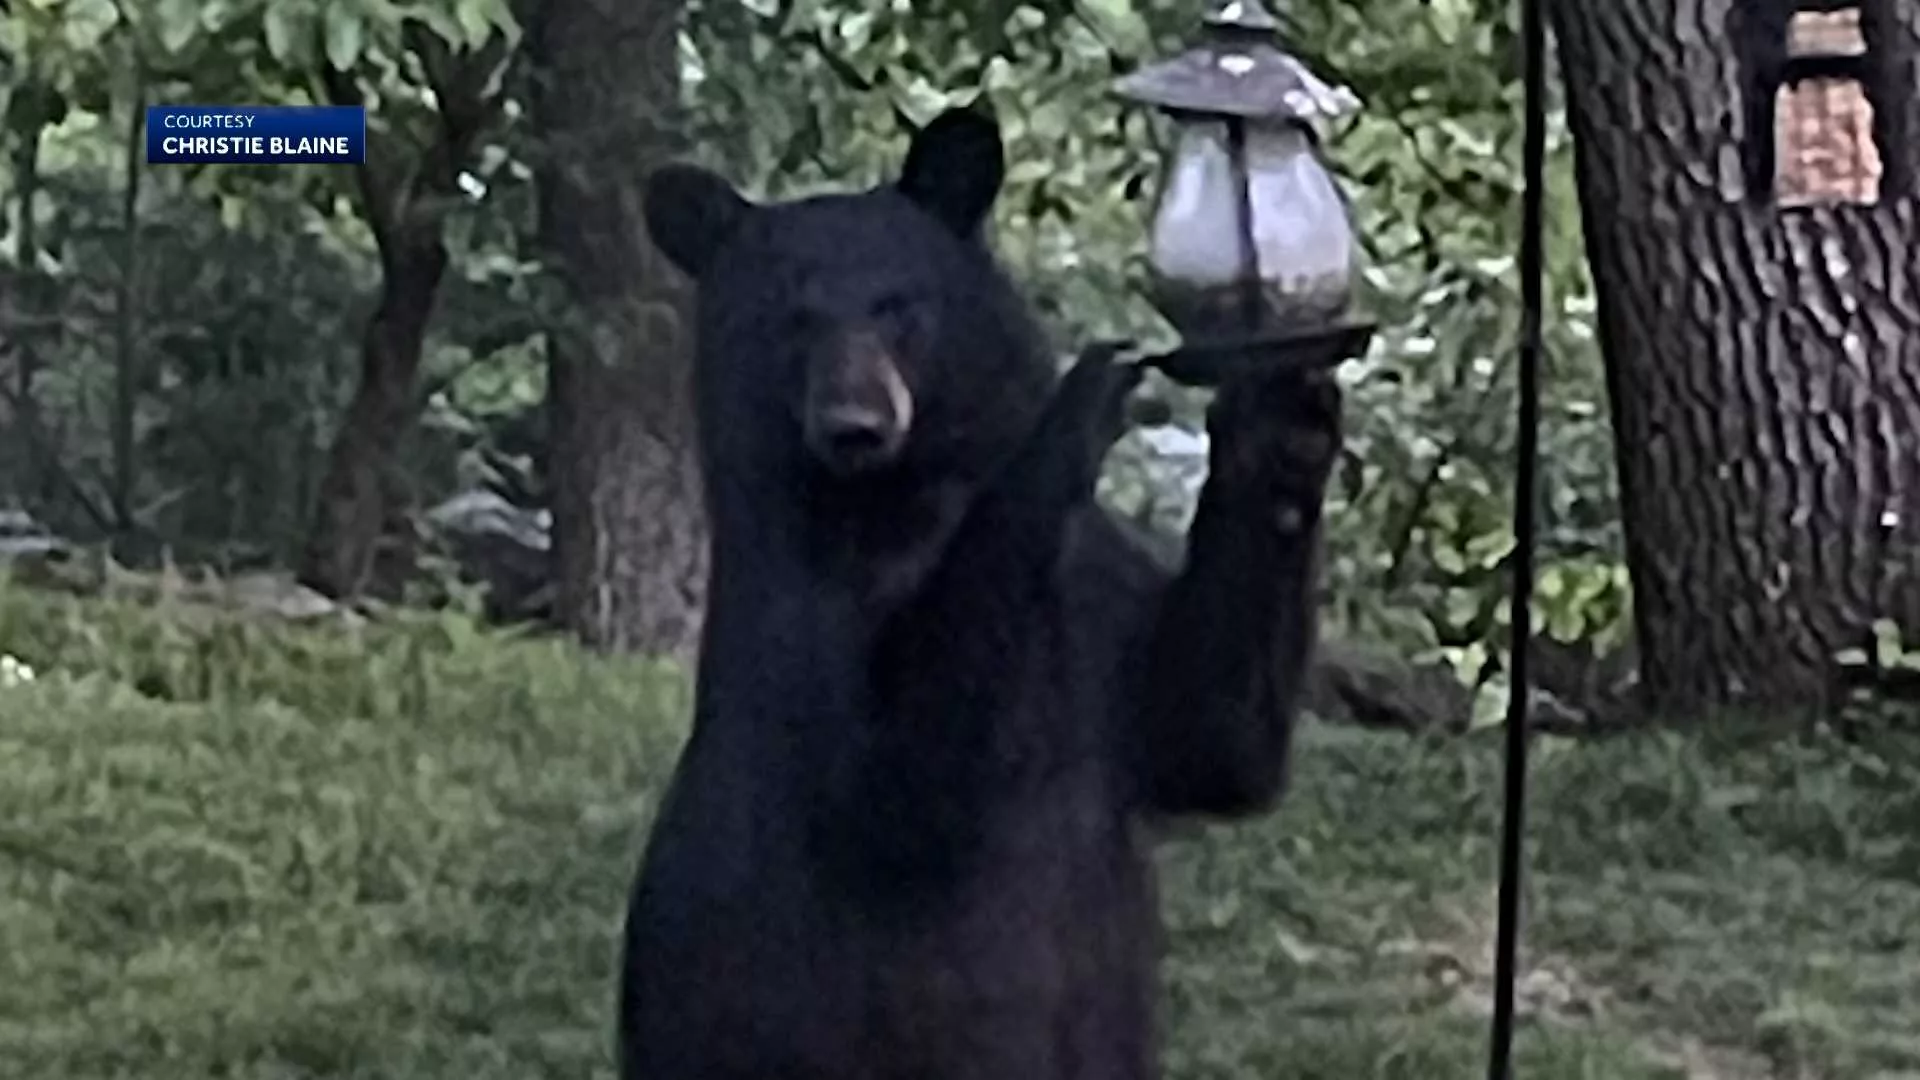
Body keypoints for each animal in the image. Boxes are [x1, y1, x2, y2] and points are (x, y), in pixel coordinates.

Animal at [622, 107, 1344, 1076]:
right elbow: (898, 774)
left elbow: (1213, 733)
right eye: (792, 319)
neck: (899, 503)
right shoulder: (796, 615)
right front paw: (1082, 398)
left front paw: (1285, 422)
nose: (856, 424)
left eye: (898, 305)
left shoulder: (1096, 591)